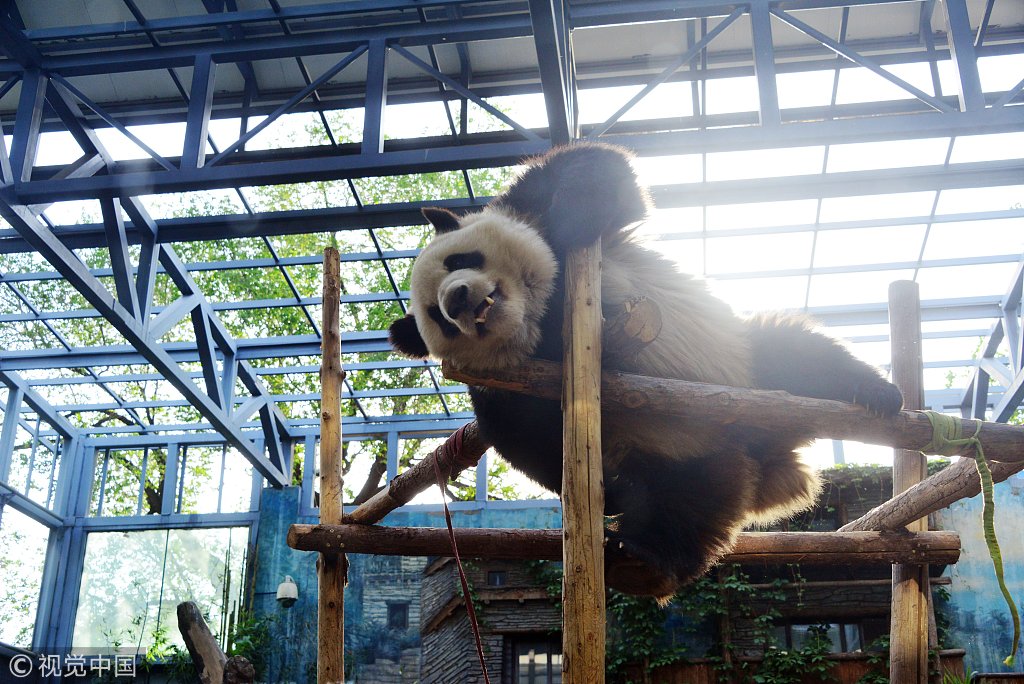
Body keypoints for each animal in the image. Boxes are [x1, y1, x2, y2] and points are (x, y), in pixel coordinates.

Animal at [388, 142, 903, 599]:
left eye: (460, 260)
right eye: (435, 316)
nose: (456, 299)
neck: (539, 314)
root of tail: (766, 458)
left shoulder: (541, 219)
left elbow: (593, 169)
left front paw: (573, 219)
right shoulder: (508, 386)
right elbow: (525, 442)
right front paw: (608, 492)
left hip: (742, 362)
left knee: (797, 354)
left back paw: (874, 393)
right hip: (678, 451)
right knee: (683, 501)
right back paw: (643, 560)